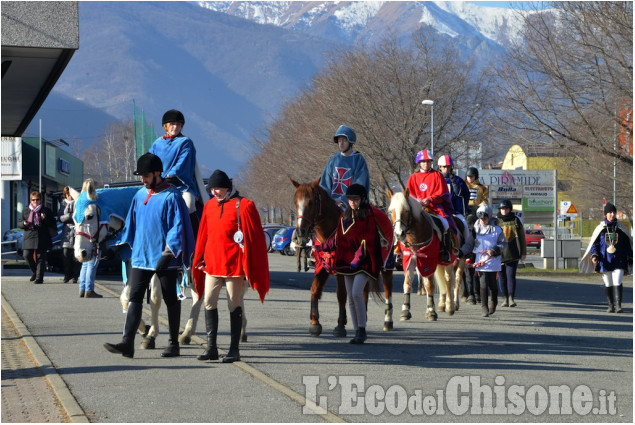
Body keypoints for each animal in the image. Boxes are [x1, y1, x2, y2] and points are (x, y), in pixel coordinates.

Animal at [292, 177, 392, 336]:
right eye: (296, 202)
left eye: (311, 202)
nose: (301, 231)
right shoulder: (322, 266)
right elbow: (314, 289)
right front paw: (314, 322)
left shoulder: (341, 270)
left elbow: (341, 294)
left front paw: (340, 325)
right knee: (363, 292)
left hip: (386, 266)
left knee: (387, 290)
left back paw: (388, 321)